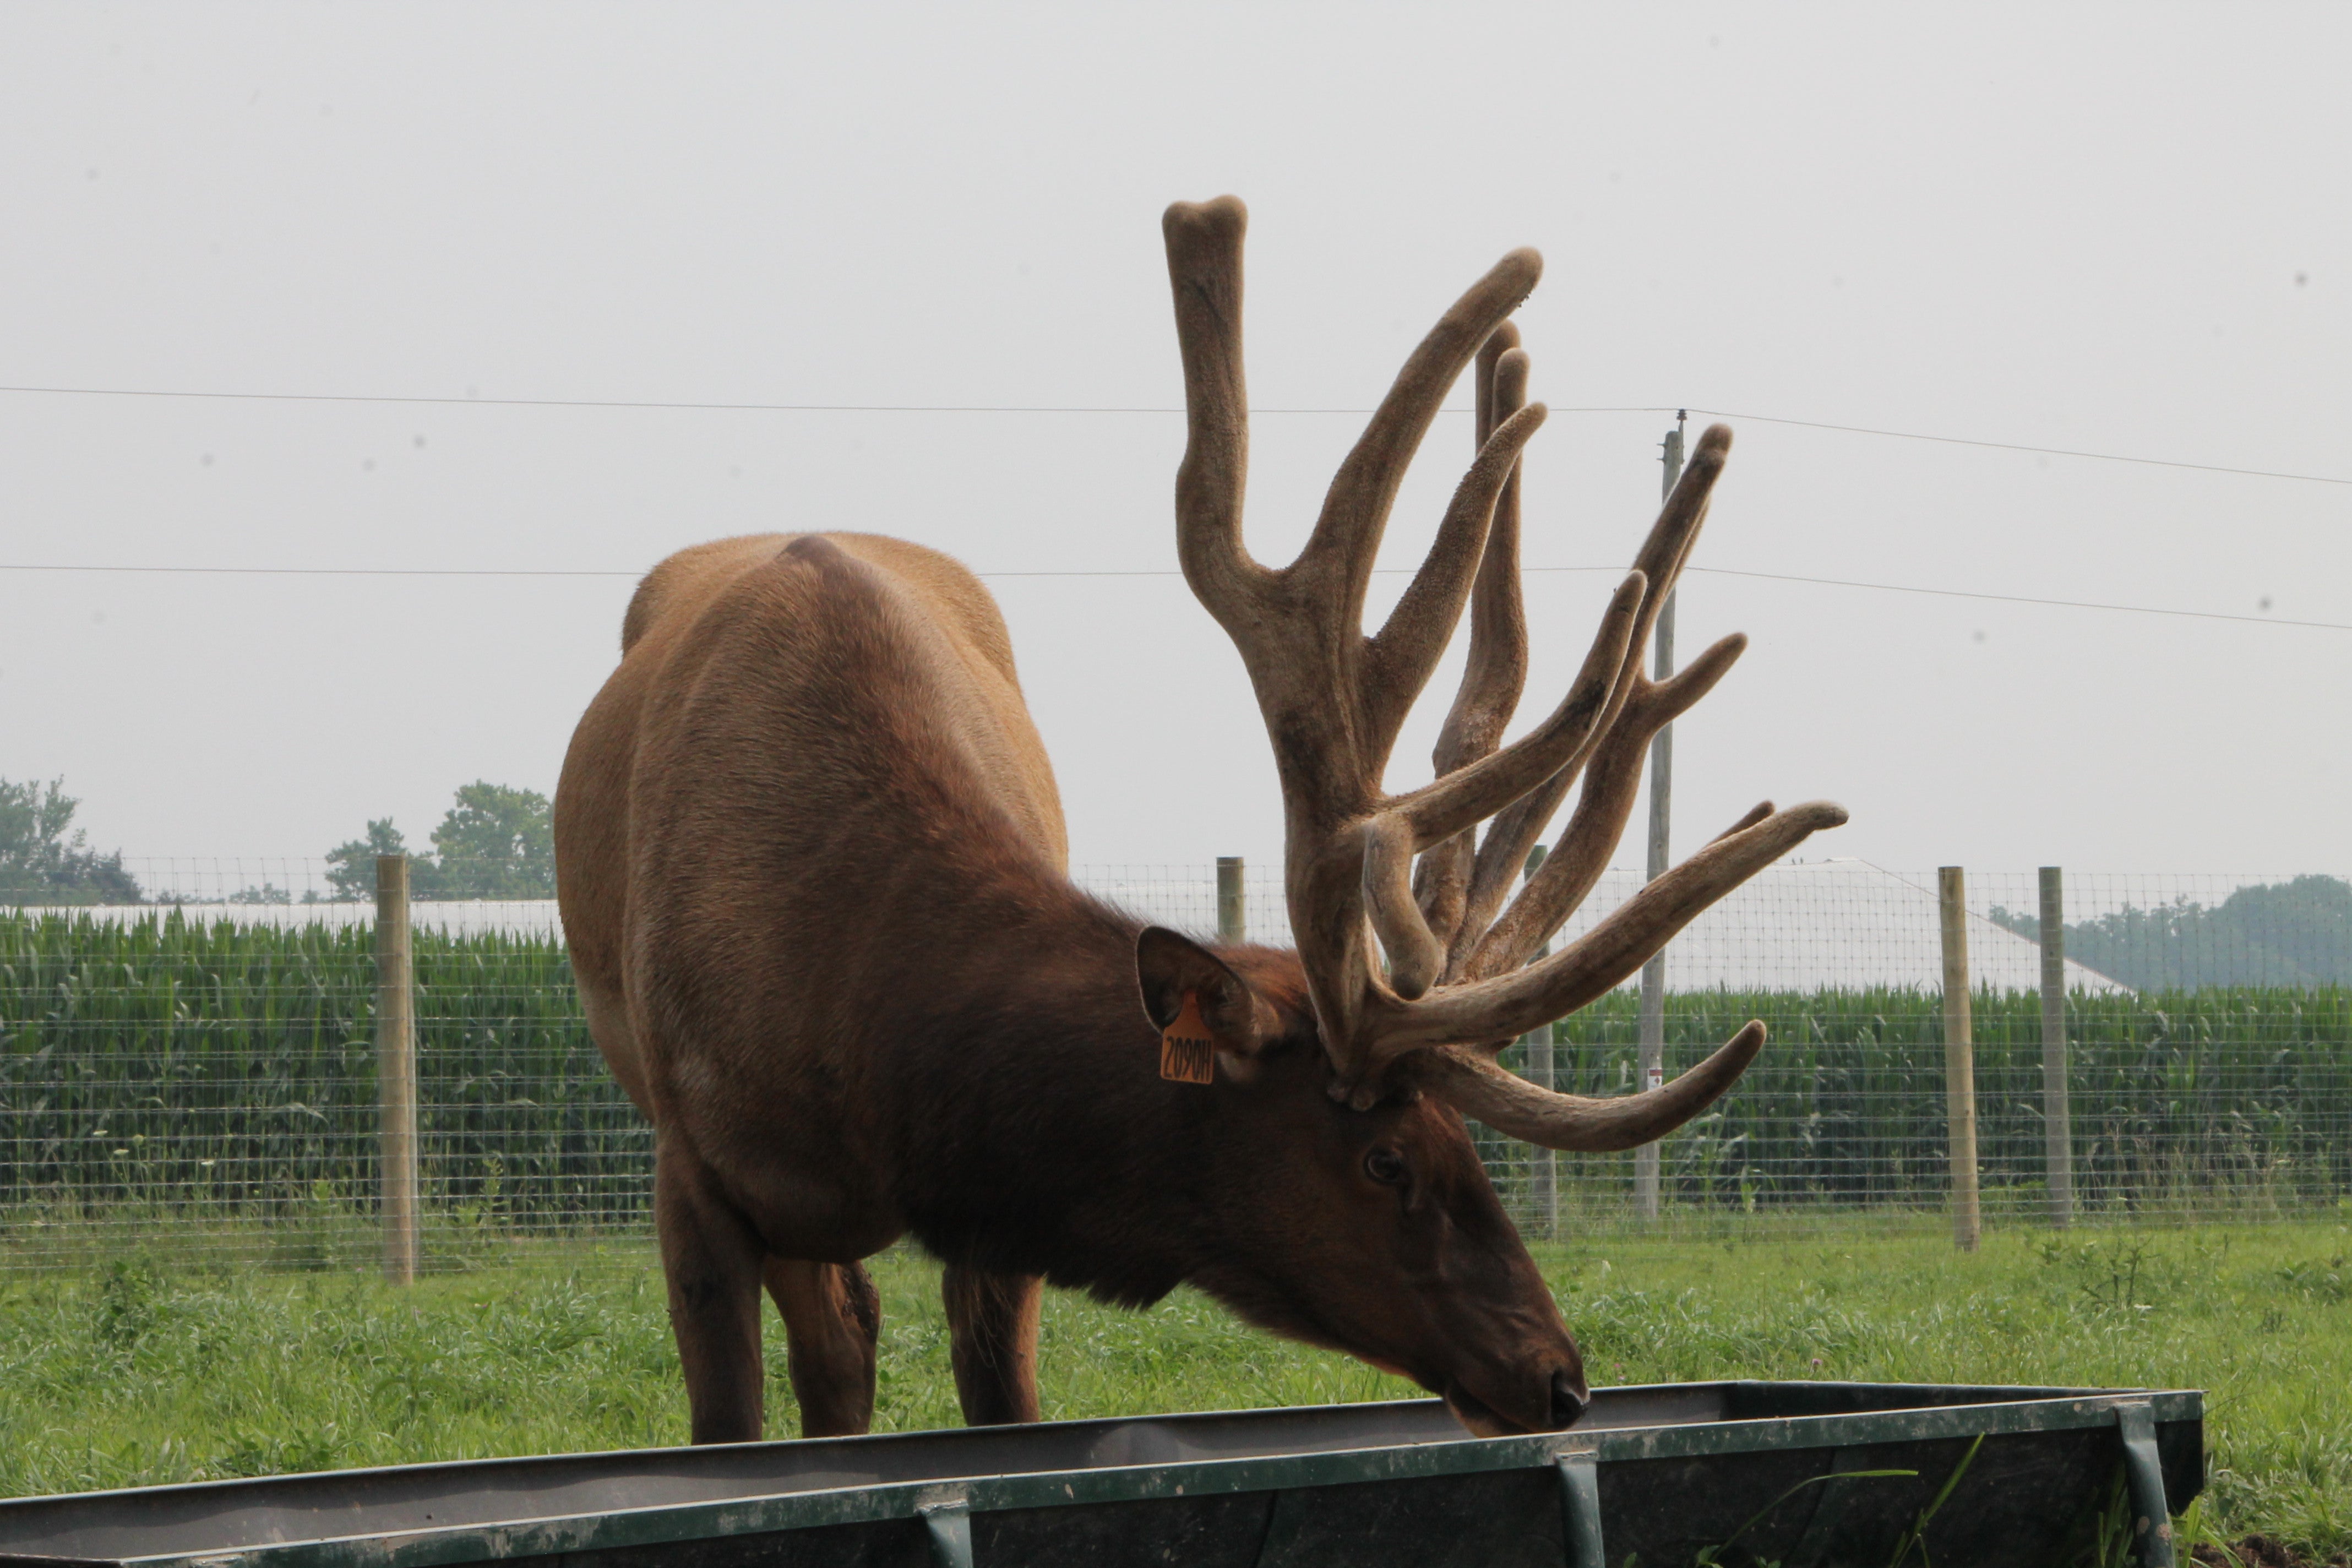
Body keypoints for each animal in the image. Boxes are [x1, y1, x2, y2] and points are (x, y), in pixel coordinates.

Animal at [550, 194, 1846, 1446]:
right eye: (1384, 1156)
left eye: (1466, 1144)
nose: (1560, 1377)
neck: (861, 1044)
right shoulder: (690, 1160)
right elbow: (726, 1423)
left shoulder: (994, 1222)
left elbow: (1002, 1409)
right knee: (838, 1335)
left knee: (846, 1333)